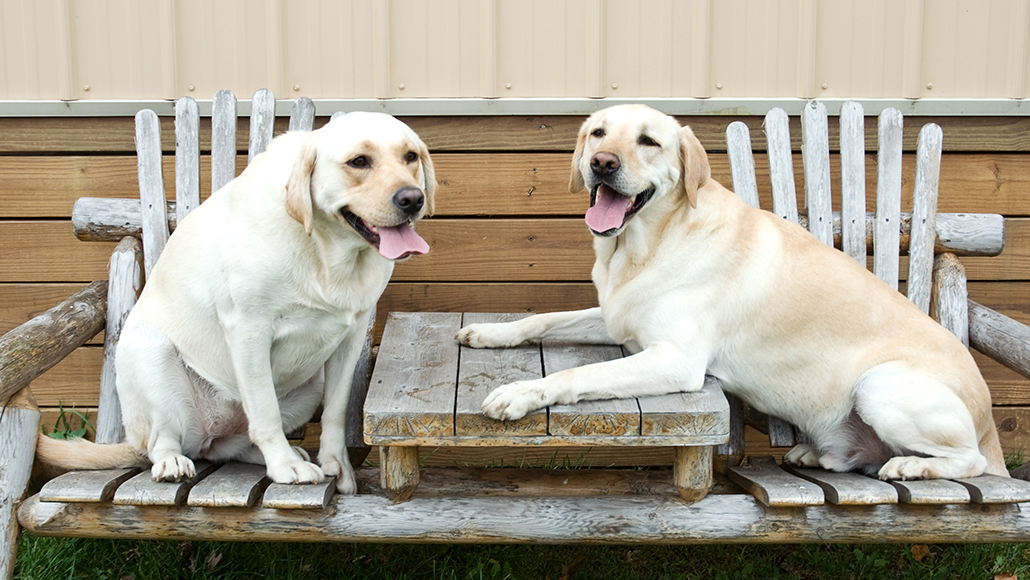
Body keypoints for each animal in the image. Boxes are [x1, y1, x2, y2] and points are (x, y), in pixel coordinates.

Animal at [38, 111, 434, 492]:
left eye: (410, 156)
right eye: (359, 161)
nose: (412, 198)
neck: (325, 251)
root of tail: (209, 434)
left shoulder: (350, 337)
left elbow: (335, 413)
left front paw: (336, 465)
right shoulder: (249, 329)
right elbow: (265, 411)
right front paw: (286, 467)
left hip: (309, 384)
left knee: (233, 447)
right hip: (148, 351)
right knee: (161, 439)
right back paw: (175, 461)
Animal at [459, 103, 1005, 482]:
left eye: (649, 141)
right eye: (598, 132)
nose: (602, 162)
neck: (644, 247)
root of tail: (991, 424)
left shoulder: (676, 359)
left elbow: (580, 373)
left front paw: (520, 393)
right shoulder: (617, 317)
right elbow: (543, 320)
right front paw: (489, 332)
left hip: (882, 385)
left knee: (969, 460)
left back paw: (914, 467)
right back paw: (819, 453)